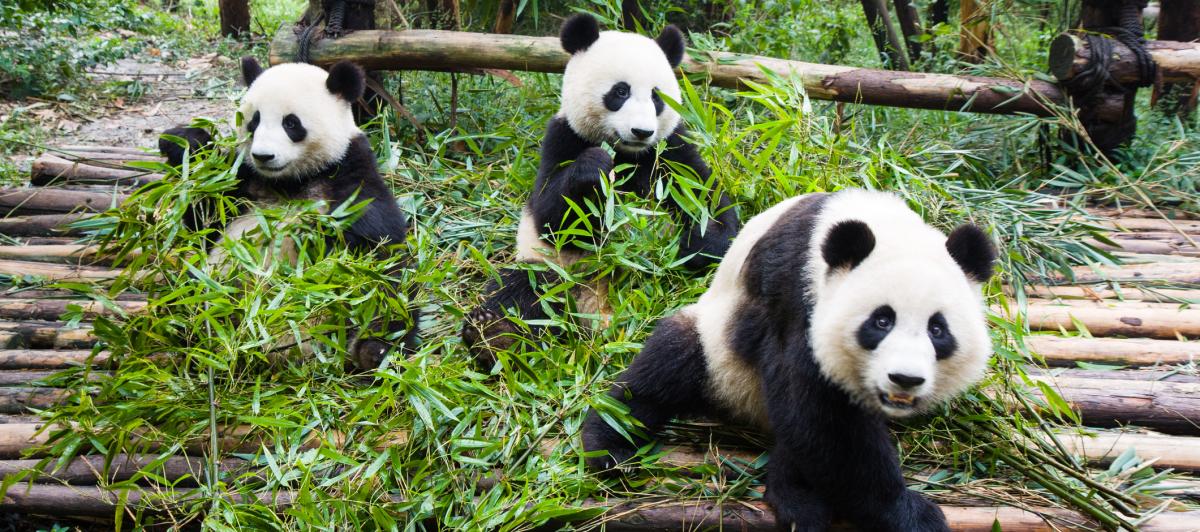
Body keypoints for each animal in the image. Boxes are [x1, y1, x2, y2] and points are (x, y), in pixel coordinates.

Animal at [159, 57, 417, 369]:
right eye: (254, 121)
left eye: (291, 123)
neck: (289, 181)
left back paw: (373, 352)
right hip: (207, 295)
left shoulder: (349, 170)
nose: (263, 156)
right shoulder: (242, 181)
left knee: (389, 302)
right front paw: (183, 142)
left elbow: (375, 236)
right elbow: (204, 216)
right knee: (187, 302)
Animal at [461, 13, 740, 362]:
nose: (642, 131)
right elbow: (551, 216)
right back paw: (495, 334)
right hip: (555, 270)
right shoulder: (563, 137)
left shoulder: (671, 149)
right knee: (523, 289)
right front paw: (595, 167)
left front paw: (697, 241)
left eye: (656, 97)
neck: (628, 153)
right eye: (620, 92)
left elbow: (706, 199)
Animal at [582, 189, 997, 531]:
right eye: (881, 321)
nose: (905, 379)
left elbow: (812, 424)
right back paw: (610, 446)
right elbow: (820, 414)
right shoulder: (797, 294)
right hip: (717, 350)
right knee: (665, 368)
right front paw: (910, 513)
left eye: (937, 329)